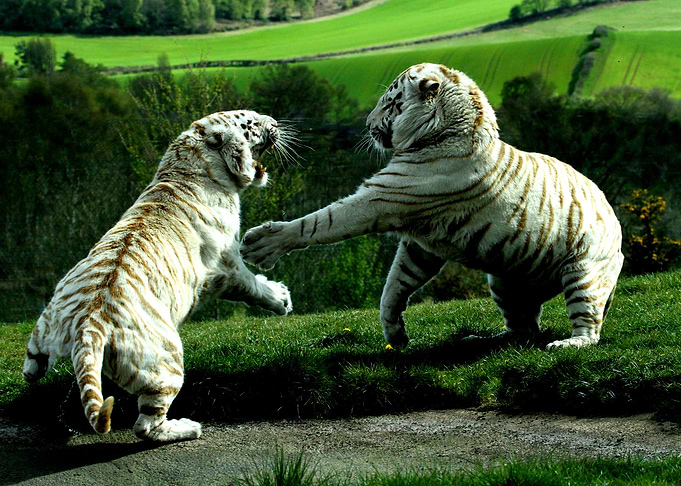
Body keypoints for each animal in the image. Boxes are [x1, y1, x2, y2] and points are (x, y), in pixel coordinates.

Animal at [23, 110, 294, 442]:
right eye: (251, 124)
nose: (277, 124)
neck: (186, 166)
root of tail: (89, 326)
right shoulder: (226, 265)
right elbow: (253, 286)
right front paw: (282, 298)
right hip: (166, 363)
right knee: (146, 425)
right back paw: (187, 427)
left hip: (45, 326)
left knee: (32, 361)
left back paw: (34, 371)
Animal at [241, 63, 624, 351]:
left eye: (389, 103)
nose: (366, 124)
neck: (445, 132)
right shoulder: (420, 244)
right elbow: (393, 287)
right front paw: (395, 335)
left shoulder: (380, 198)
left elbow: (322, 222)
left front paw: (262, 244)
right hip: (503, 281)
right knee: (522, 329)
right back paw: (479, 339)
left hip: (583, 272)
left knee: (588, 327)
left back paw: (566, 344)